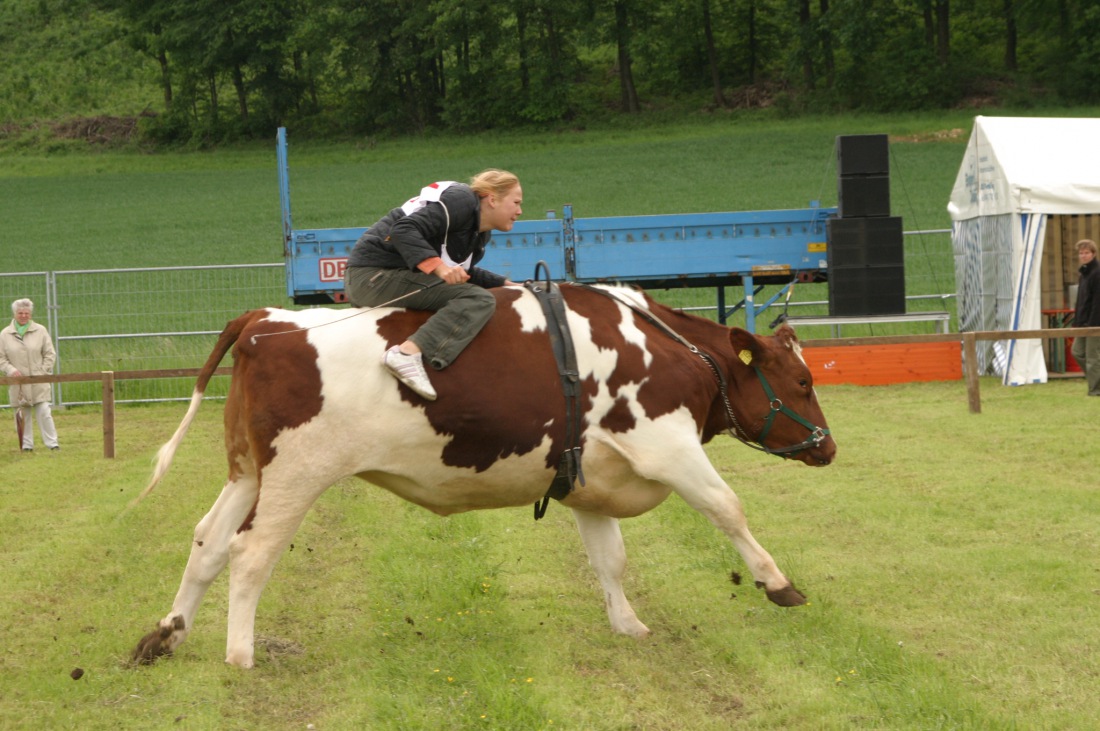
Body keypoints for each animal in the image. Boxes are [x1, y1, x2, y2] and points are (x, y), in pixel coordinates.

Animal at [130, 280, 831, 668]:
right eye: (802, 381)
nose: (828, 449)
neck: (666, 350)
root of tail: (265, 318)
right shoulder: (667, 445)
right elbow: (728, 507)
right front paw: (779, 584)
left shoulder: (588, 481)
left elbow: (609, 559)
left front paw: (627, 624)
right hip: (296, 477)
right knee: (251, 553)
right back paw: (240, 654)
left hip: (248, 472)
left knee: (208, 542)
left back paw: (166, 635)